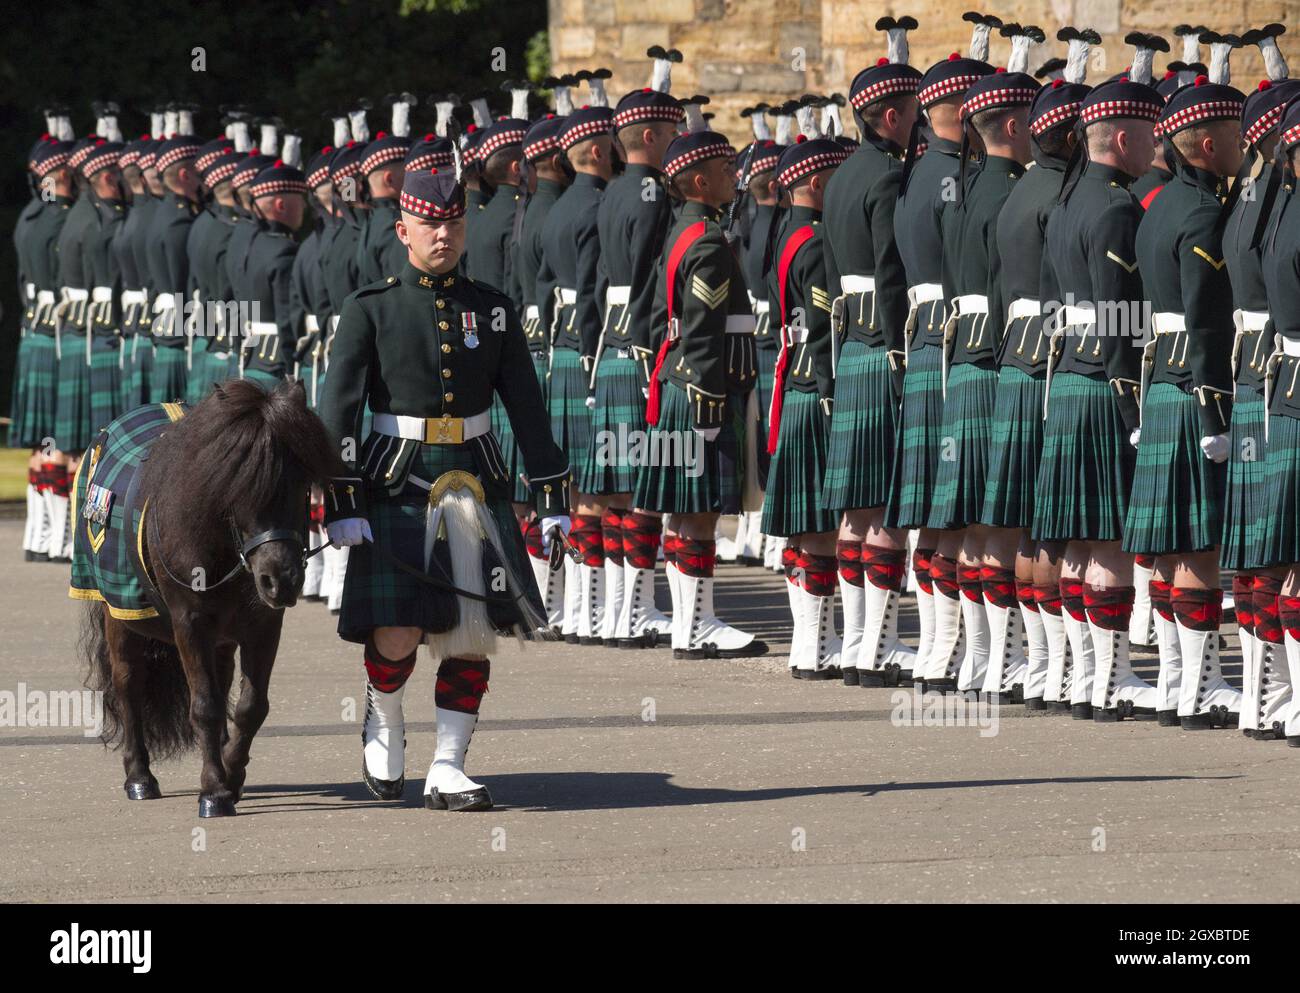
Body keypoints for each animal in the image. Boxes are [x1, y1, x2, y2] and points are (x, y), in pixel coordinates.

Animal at [79, 379, 345, 816]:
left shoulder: (263, 625)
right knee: (128, 682)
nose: (282, 580)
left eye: (301, 485)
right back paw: (139, 777)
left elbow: (250, 706)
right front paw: (214, 792)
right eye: (238, 486)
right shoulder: (191, 623)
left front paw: (231, 777)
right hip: (119, 616)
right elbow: (204, 706)